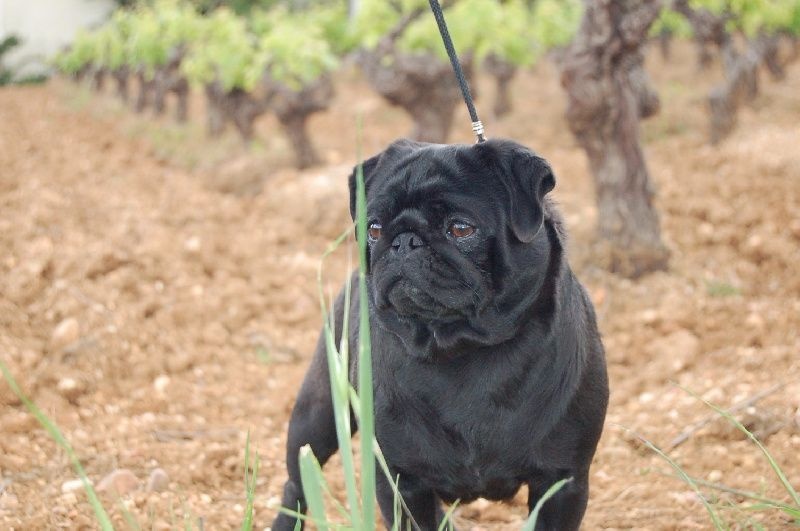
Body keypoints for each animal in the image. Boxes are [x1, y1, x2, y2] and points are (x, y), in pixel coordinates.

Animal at [272, 138, 608, 531]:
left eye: (460, 229)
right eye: (374, 229)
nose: (404, 240)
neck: (462, 348)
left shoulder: (561, 481)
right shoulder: (402, 482)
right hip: (317, 413)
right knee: (296, 484)